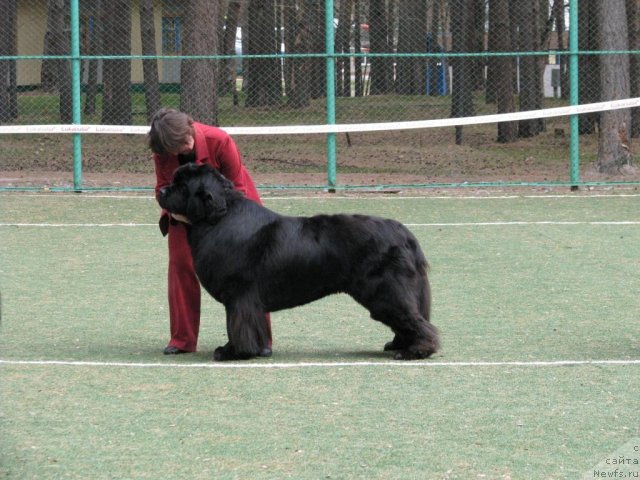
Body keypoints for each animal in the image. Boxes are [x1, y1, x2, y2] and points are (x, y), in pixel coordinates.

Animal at [157, 164, 438, 360]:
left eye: (182, 185)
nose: (160, 190)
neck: (218, 218)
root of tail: (405, 235)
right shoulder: (244, 299)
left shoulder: (240, 295)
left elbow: (238, 325)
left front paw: (233, 352)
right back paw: (399, 344)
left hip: (384, 291)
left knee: (416, 321)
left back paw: (415, 351)